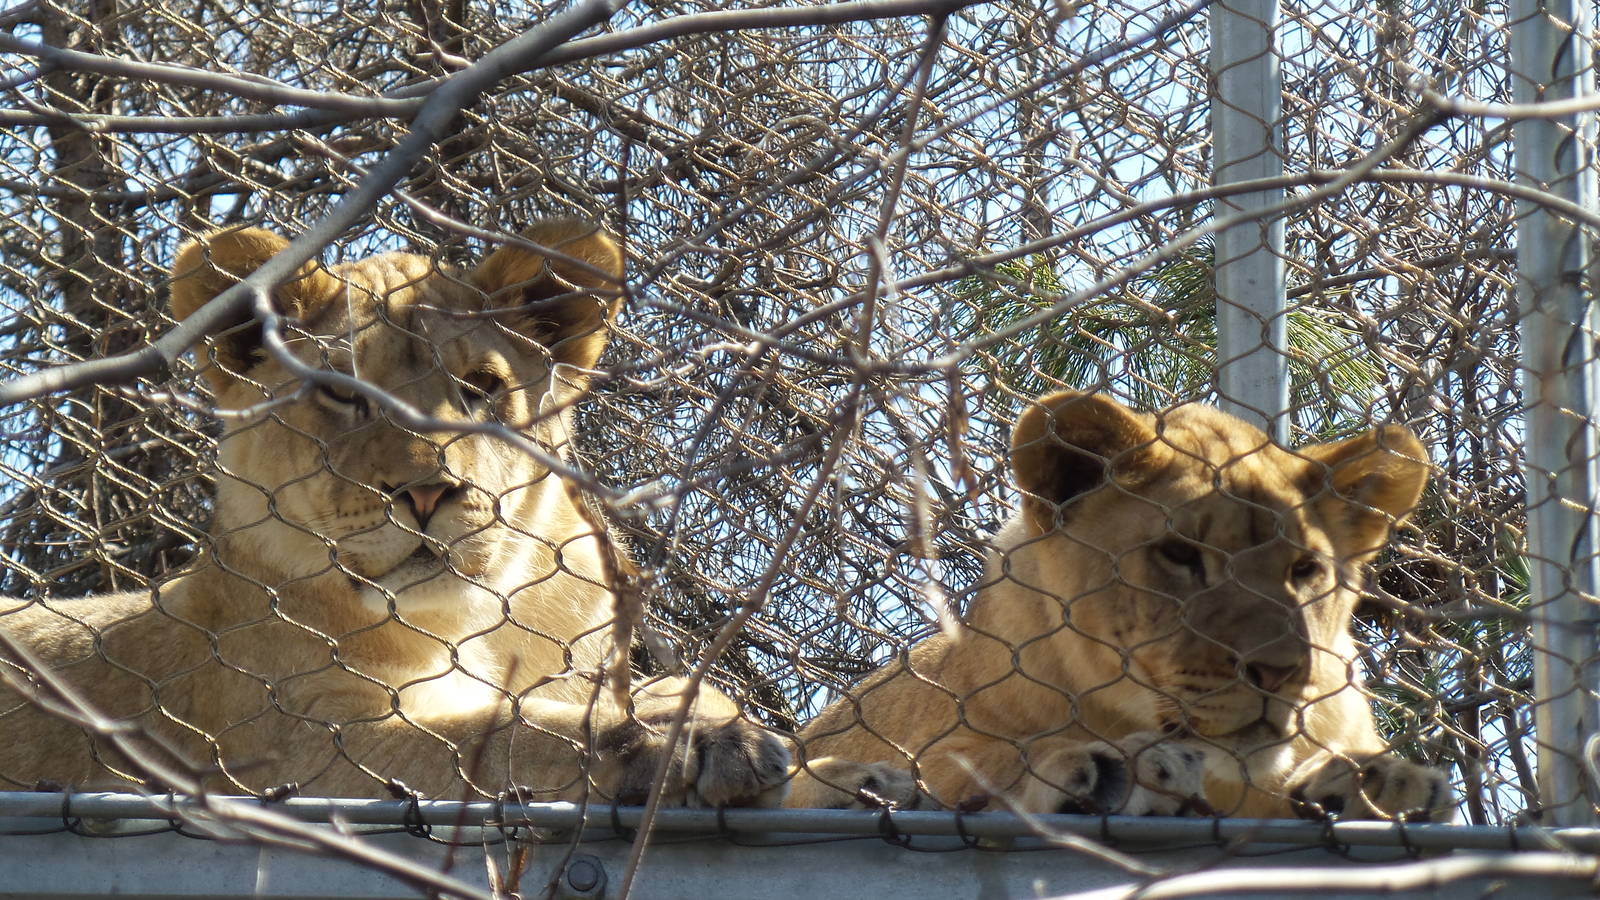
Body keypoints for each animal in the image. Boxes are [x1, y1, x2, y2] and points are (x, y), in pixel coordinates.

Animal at [0, 219, 790, 807]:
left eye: (480, 386)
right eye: (341, 392)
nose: (427, 493)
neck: (471, 626)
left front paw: (709, 715)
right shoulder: (300, 748)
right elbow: (502, 736)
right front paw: (685, 740)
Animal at [787, 390, 1451, 820]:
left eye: (1305, 570)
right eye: (1180, 554)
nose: (1279, 672)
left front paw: (1381, 781)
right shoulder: (944, 744)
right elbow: (984, 762)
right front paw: (1106, 768)